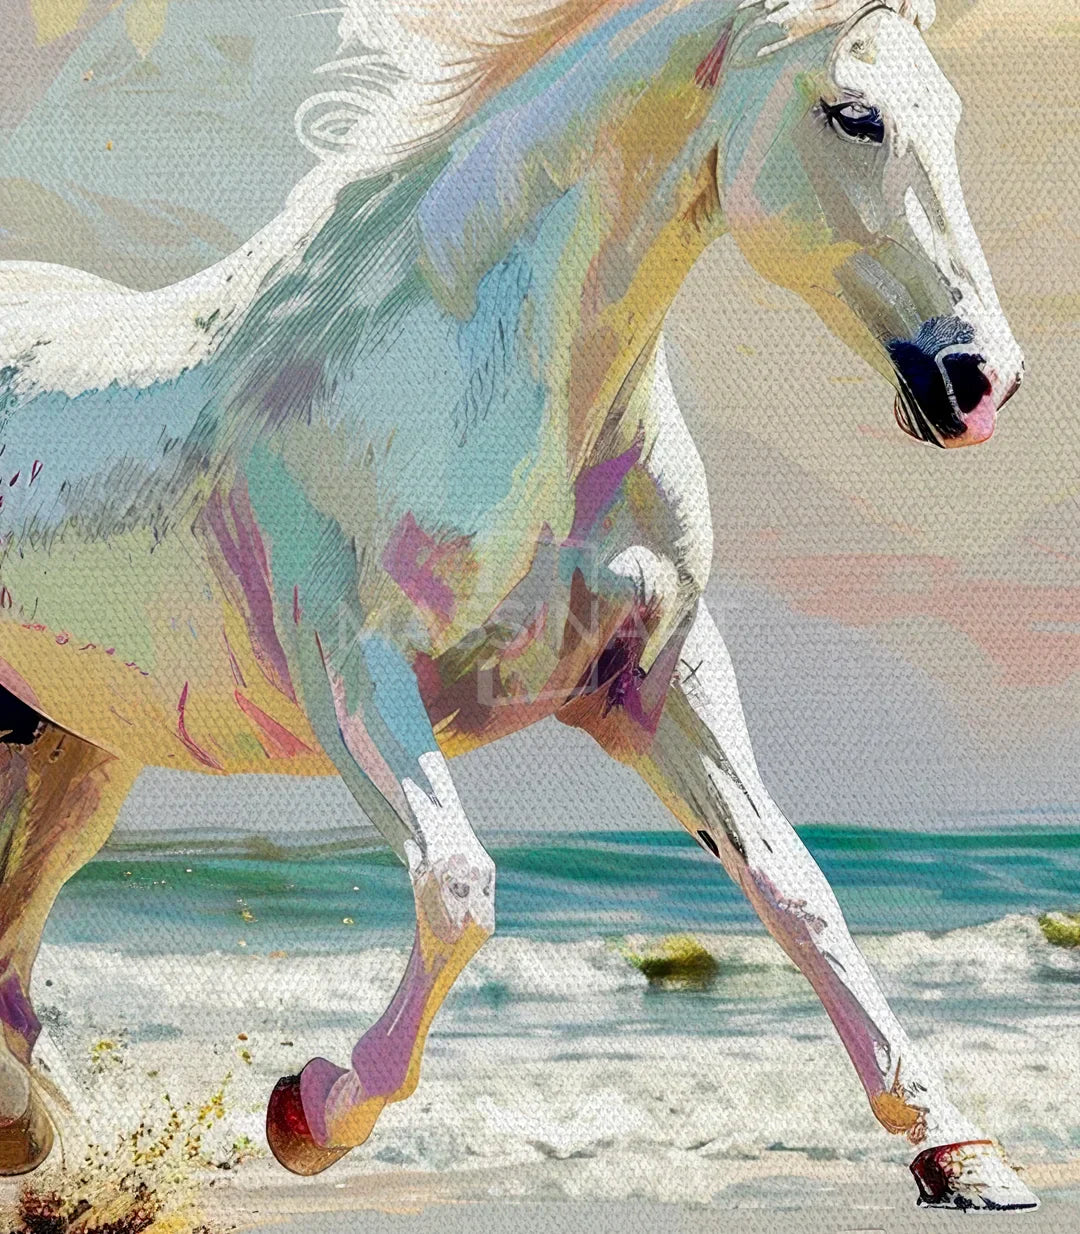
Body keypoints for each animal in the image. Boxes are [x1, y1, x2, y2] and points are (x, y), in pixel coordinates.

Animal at [0, 0, 1034, 1210]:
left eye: (949, 110)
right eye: (854, 113)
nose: (979, 382)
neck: (485, 384)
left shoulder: (659, 681)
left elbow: (795, 887)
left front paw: (958, 1150)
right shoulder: (355, 674)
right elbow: (459, 887)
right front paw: (310, 1111)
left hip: (73, 753)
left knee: (13, 962)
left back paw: (30, 1134)